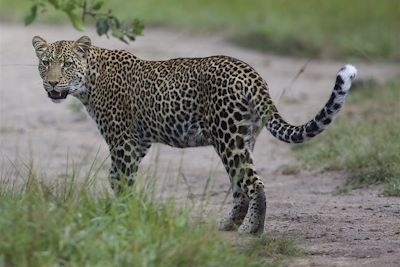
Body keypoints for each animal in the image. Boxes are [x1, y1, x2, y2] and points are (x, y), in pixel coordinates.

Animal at [31, 35, 356, 234]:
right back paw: (228, 224)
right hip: (244, 137)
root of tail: (252, 74)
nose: (52, 84)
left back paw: (252, 229)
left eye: (67, 64)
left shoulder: (123, 141)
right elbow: (118, 178)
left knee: (253, 182)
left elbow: (119, 179)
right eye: (46, 64)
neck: (90, 80)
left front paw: (120, 215)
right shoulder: (138, 143)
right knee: (240, 184)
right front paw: (127, 211)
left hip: (228, 136)